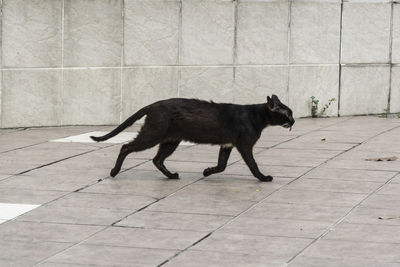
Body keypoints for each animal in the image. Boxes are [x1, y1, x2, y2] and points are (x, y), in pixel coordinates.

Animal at [92, 94, 296, 182]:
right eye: (288, 114)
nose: (293, 121)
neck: (257, 116)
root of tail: (153, 104)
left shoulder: (227, 145)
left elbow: (221, 165)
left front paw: (207, 171)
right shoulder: (244, 145)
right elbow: (253, 165)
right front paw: (264, 178)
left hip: (170, 140)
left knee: (157, 159)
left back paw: (172, 176)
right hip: (153, 135)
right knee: (126, 147)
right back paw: (114, 172)